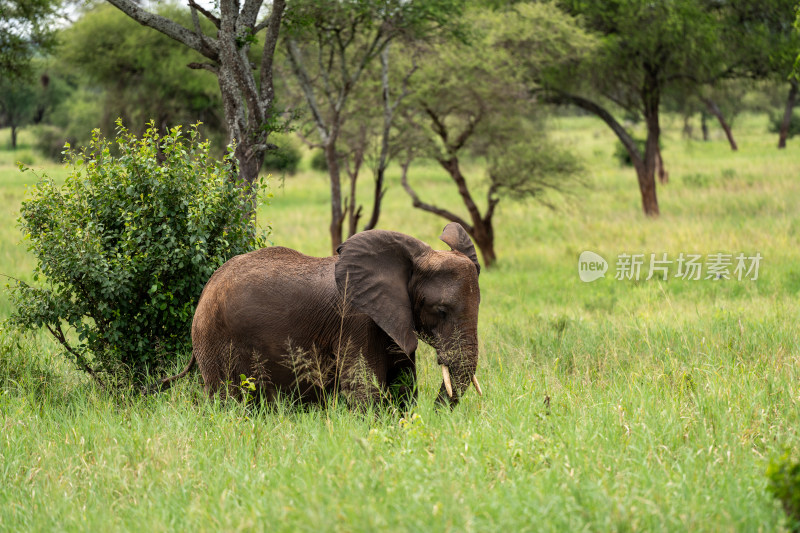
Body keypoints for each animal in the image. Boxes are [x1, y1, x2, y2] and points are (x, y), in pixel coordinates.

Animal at [155, 220, 482, 408]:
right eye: (440, 311)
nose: (439, 411)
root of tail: (205, 290)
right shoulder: (356, 322)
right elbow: (365, 390)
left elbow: (403, 386)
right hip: (214, 340)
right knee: (226, 400)